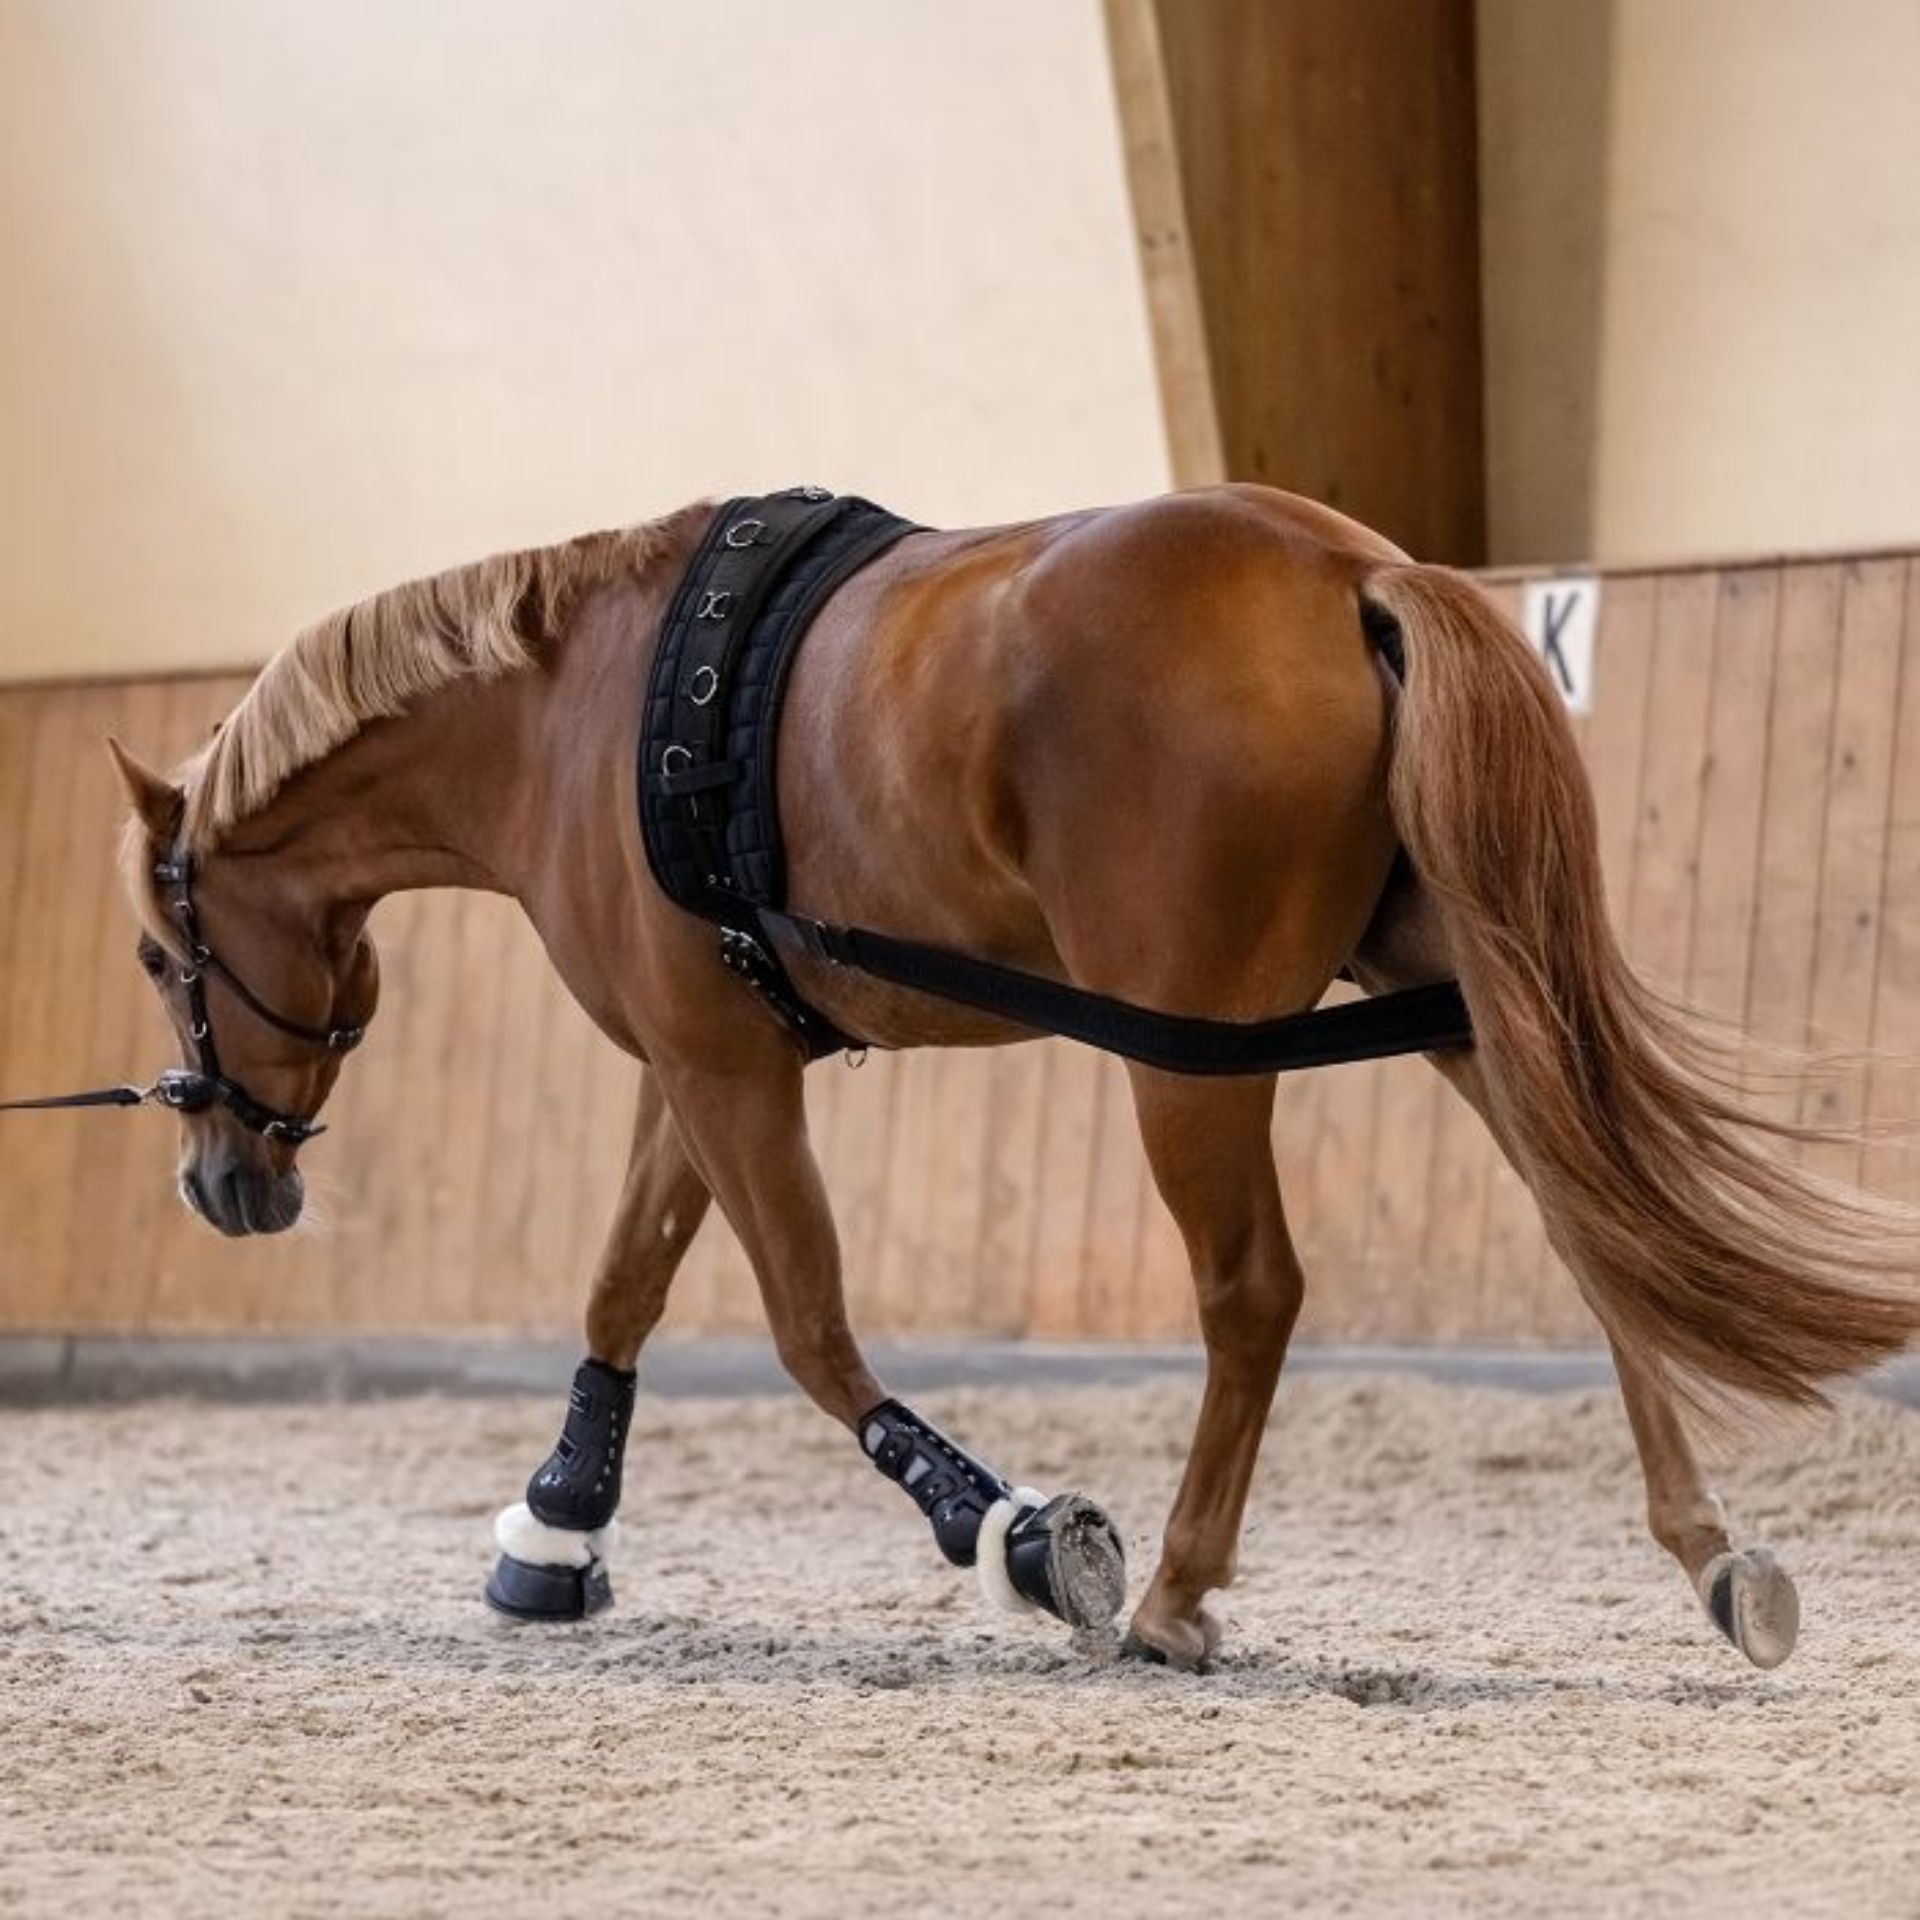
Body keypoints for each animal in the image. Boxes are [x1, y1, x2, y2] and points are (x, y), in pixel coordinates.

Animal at [102, 482, 1919, 1671]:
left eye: (152, 958)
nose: (220, 1181)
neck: (583, 710)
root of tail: (1352, 567)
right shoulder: (701, 1061)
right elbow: (626, 1284)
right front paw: (553, 1529)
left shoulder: (723, 1073)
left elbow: (809, 1330)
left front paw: (1023, 1538)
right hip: (1458, 1002)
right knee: (1593, 1243)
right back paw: (1712, 1555)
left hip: (1195, 1061)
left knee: (1256, 1290)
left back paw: (1176, 1590)